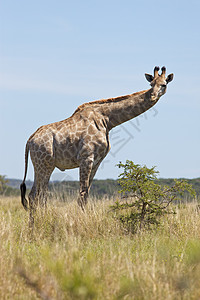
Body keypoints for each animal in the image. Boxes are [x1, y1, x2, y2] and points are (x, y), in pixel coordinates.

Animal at [20, 65, 173, 217]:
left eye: (163, 85)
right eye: (151, 84)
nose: (152, 96)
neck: (108, 121)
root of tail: (30, 140)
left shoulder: (97, 161)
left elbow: (86, 194)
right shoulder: (86, 157)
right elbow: (82, 194)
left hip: (40, 165)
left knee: (34, 195)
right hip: (46, 164)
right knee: (39, 196)